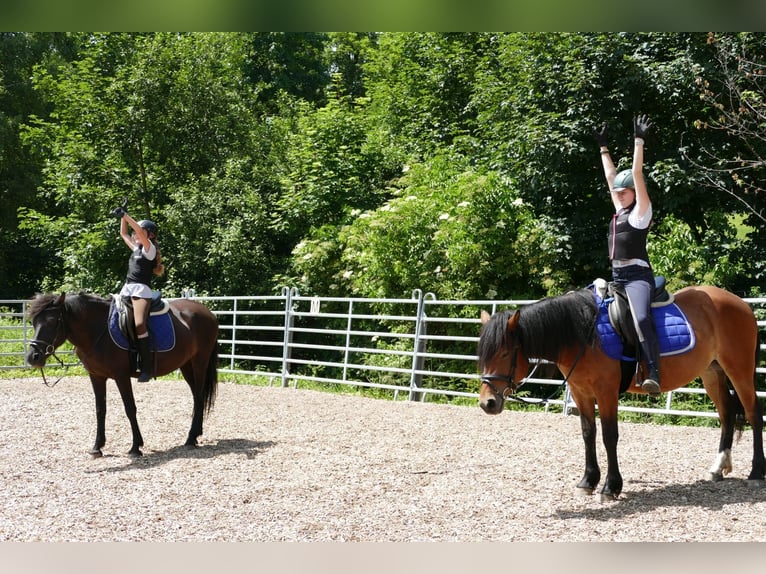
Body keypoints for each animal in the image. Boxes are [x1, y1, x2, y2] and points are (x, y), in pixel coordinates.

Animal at [27, 292, 219, 460]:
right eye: (33, 322)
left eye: (52, 321)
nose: (32, 357)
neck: (98, 330)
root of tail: (208, 312)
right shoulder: (96, 377)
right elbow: (100, 410)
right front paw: (97, 447)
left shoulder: (122, 377)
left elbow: (130, 408)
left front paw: (135, 447)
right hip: (186, 365)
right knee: (196, 396)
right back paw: (195, 435)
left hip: (199, 362)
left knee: (199, 396)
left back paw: (191, 438)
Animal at [476, 286, 764, 502]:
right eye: (483, 355)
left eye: (504, 353)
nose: (487, 403)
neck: (583, 334)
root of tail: (740, 303)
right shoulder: (581, 392)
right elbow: (588, 434)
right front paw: (588, 481)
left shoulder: (606, 392)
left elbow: (609, 436)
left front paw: (611, 486)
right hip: (712, 373)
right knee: (727, 415)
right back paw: (719, 467)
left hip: (739, 370)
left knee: (753, 413)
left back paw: (756, 473)